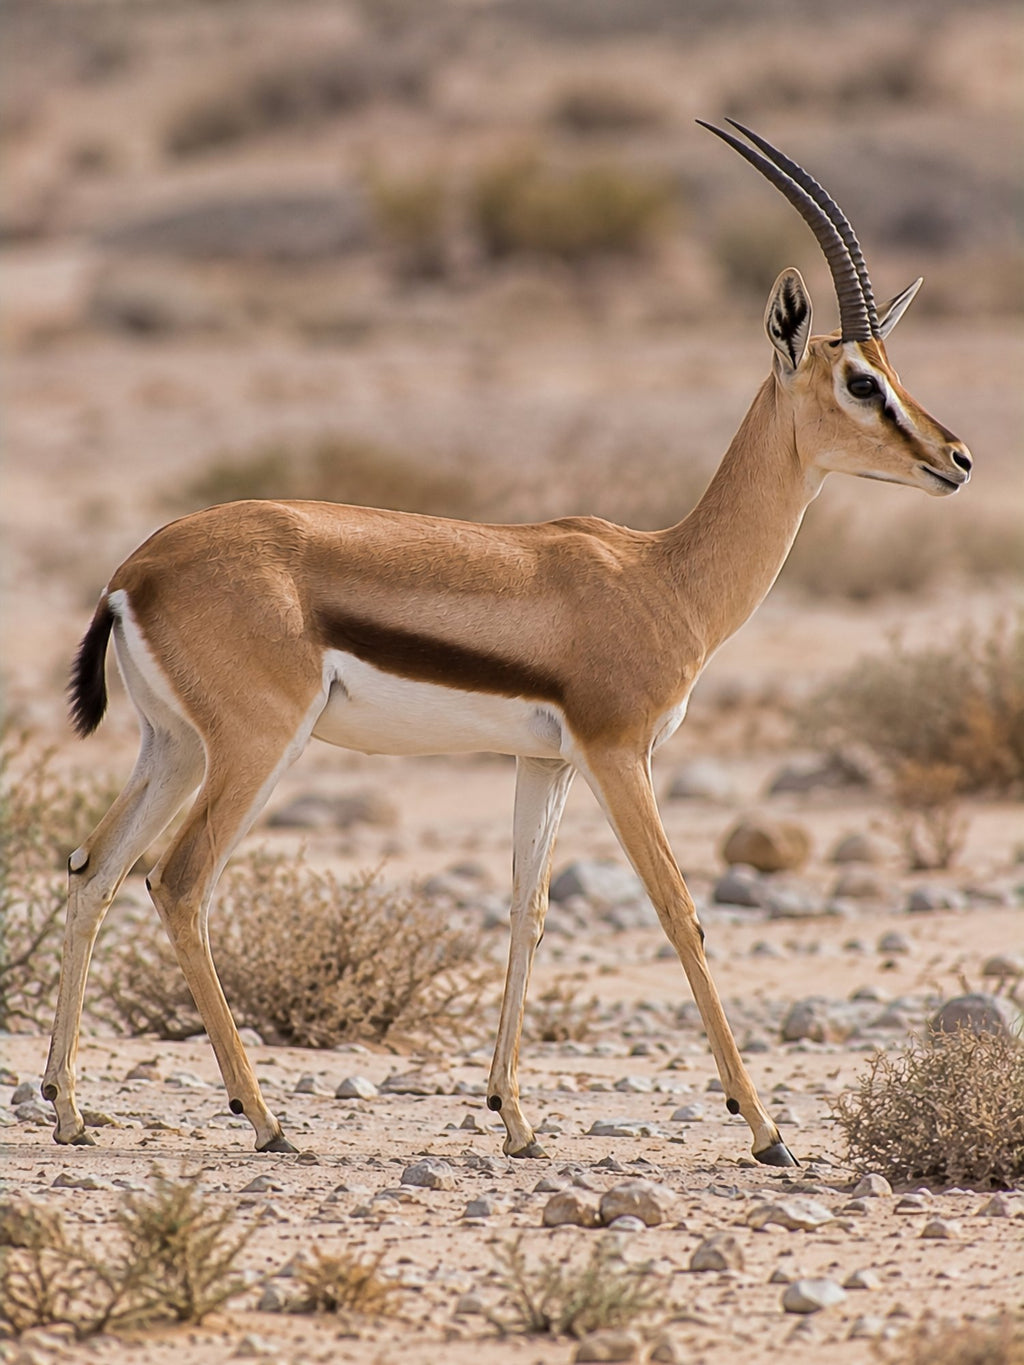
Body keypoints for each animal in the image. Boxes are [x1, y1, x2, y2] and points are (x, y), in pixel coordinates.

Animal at [44, 121, 972, 1167]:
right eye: (862, 381)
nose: (957, 458)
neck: (664, 575)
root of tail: (136, 568)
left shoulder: (548, 763)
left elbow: (528, 909)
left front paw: (516, 1118)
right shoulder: (620, 754)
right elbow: (679, 910)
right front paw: (767, 1129)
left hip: (172, 748)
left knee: (94, 869)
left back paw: (70, 1107)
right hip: (252, 749)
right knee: (178, 880)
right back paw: (267, 1118)